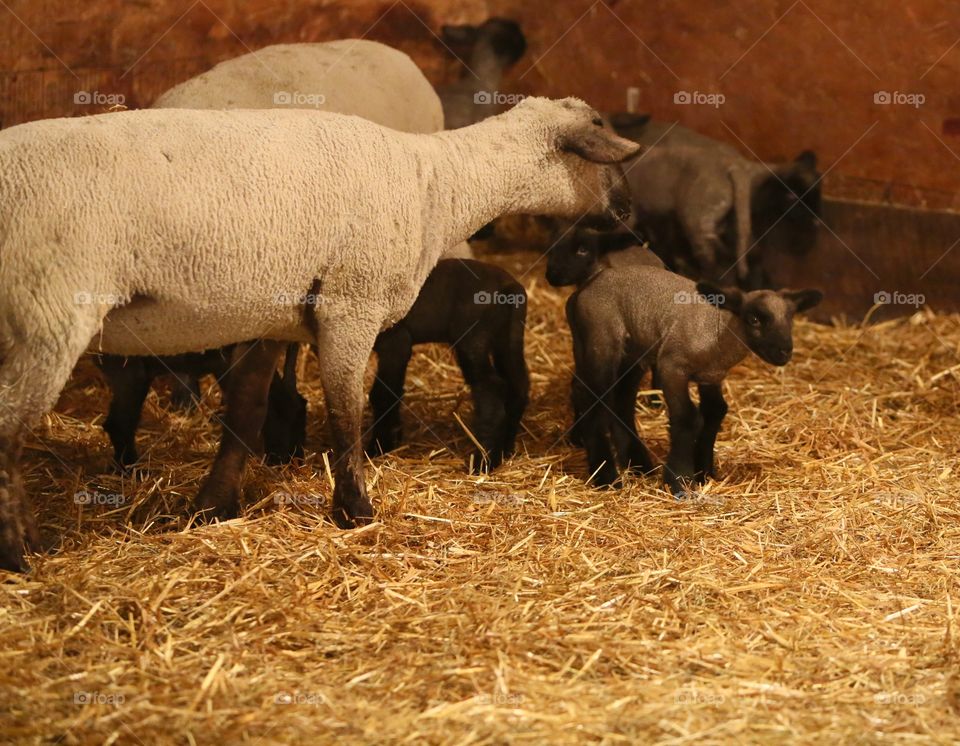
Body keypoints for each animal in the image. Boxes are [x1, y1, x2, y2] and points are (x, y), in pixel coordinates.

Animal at [368, 258, 528, 472]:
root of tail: (510, 286)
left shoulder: (395, 342)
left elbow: (383, 394)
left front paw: (378, 447)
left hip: (473, 338)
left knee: (491, 387)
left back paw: (483, 462)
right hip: (509, 338)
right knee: (518, 386)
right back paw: (505, 450)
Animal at [565, 265, 821, 492]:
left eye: (790, 319)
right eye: (754, 319)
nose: (784, 351)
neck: (718, 332)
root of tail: (583, 289)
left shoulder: (711, 377)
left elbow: (715, 411)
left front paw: (704, 472)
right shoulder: (672, 367)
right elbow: (687, 417)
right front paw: (679, 479)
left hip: (633, 353)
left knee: (620, 401)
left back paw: (639, 465)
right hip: (602, 341)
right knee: (593, 399)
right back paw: (606, 477)